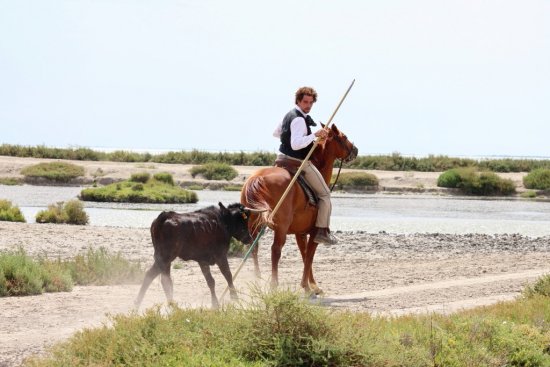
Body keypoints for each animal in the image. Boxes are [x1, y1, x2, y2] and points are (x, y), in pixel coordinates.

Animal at [240, 125, 358, 294]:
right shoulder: (315, 232)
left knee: (254, 247)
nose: (355, 150)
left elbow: (304, 254)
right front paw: (308, 287)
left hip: (253, 225)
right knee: (275, 250)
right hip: (280, 228)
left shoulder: (300, 233)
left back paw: (258, 280)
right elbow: (309, 256)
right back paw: (273, 285)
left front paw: (312, 285)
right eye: (344, 137)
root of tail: (258, 178)